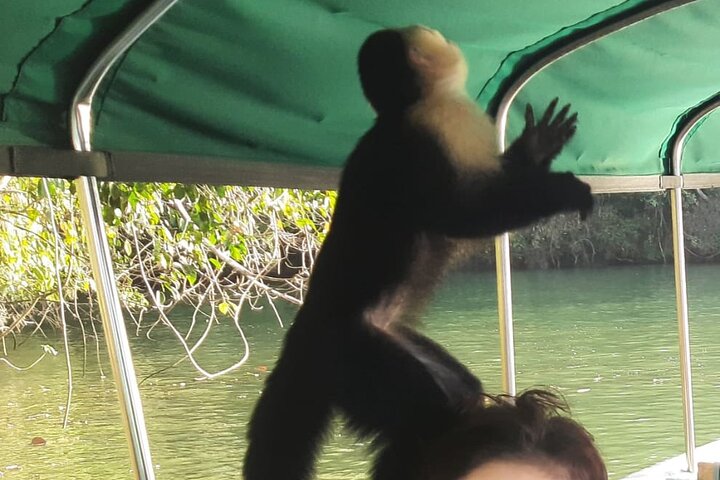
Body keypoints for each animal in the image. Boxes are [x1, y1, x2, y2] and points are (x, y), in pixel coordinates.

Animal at [243, 25, 593, 480]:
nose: (446, 37)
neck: (409, 108)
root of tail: (304, 330)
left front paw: (537, 145)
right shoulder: (420, 140)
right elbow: (462, 213)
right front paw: (564, 190)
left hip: (386, 338)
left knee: (459, 393)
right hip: (355, 355)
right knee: (427, 413)